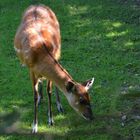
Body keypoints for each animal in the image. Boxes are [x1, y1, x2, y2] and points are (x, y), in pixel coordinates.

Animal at [13, 4, 94, 133]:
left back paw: (59, 106)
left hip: (59, 51)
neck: (40, 55)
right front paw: (34, 126)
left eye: (89, 96)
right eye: (81, 100)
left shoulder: (54, 57)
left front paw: (51, 120)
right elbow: (34, 95)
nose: (91, 117)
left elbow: (49, 91)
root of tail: (36, 4)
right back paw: (41, 99)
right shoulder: (30, 69)